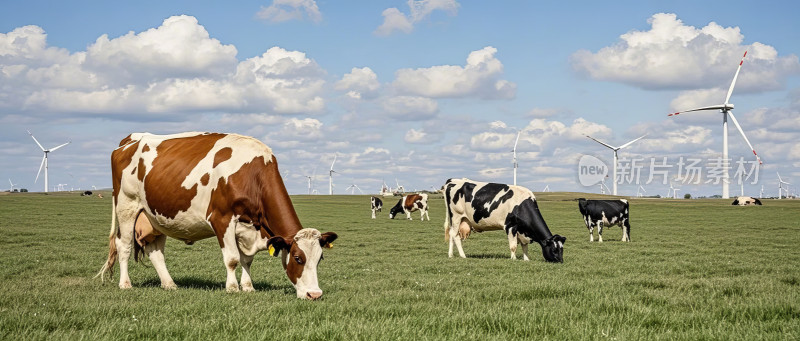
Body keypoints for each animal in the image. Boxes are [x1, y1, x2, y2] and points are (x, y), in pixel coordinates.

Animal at [95, 131, 340, 298]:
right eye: (298, 258)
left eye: (320, 258)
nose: (314, 294)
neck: (253, 174)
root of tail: (131, 139)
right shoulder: (221, 218)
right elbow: (232, 258)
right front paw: (232, 288)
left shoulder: (247, 226)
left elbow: (247, 260)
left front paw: (248, 286)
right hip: (127, 206)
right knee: (124, 245)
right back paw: (125, 284)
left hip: (156, 216)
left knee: (155, 252)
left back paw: (169, 284)